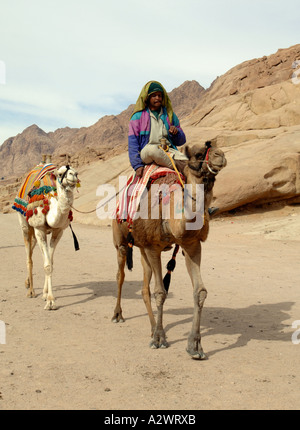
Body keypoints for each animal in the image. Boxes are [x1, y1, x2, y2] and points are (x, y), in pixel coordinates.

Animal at [16, 165, 78, 310]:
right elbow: (47, 265)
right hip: (25, 225)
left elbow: (50, 262)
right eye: (61, 173)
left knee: (35, 248)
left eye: (75, 171)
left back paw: (28, 283)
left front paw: (46, 295)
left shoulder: (58, 232)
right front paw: (50, 301)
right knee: (29, 256)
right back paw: (31, 291)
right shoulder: (39, 230)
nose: (73, 175)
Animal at [111, 142, 226, 360]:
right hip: (121, 240)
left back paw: (152, 327)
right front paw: (159, 339)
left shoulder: (191, 244)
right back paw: (118, 315)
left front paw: (195, 346)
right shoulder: (153, 247)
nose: (221, 155)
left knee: (144, 287)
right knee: (120, 276)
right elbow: (160, 292)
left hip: (141, 248)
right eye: (198, 154)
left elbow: (199, 291)